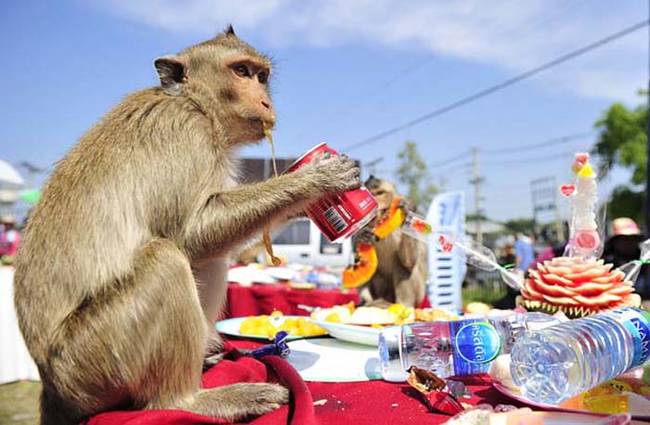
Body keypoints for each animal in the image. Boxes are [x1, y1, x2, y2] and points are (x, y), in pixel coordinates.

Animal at [13, 26, 360, 424]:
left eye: (262, 76)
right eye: (241, 72)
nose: (266, 103)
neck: (196, 103)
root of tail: (53, 388)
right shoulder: (186, 132)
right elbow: (190, 233)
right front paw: (316, 179)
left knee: (209, 260)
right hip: (91, 362)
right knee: (166, 260)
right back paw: (188, 400)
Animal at [354, 176, 426, 308]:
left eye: (380, 193)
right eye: (371, 194)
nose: (376, 206)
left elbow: (408, 261)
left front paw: (406, 210)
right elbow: (360, 259)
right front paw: (361, 238)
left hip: (419, 294)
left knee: (402, 265)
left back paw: (403, 305)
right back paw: (368, 301)